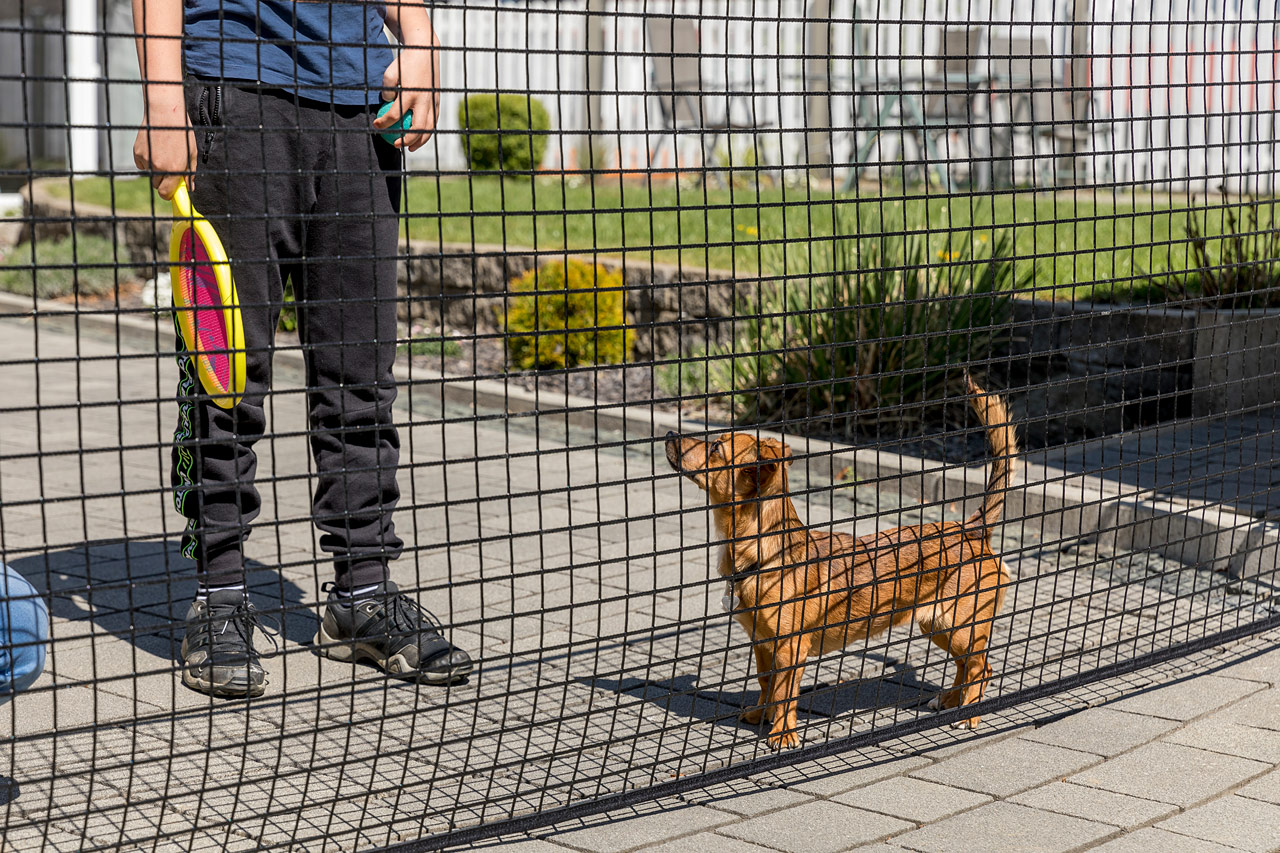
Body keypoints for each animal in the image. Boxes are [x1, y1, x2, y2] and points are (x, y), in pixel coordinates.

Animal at [665, 376, 1013, 747]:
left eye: (716, 448)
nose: (670, 435)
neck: (764, 553)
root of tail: (972, 528)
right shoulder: (762, 644)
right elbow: (765, 681)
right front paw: (760, 715)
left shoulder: (790, 648)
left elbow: (784, 692)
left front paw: (783, 734)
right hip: (938, 626)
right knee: (966, 666)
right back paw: (949, 701)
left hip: (962, 628)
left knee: (981, 668)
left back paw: (969, 714)